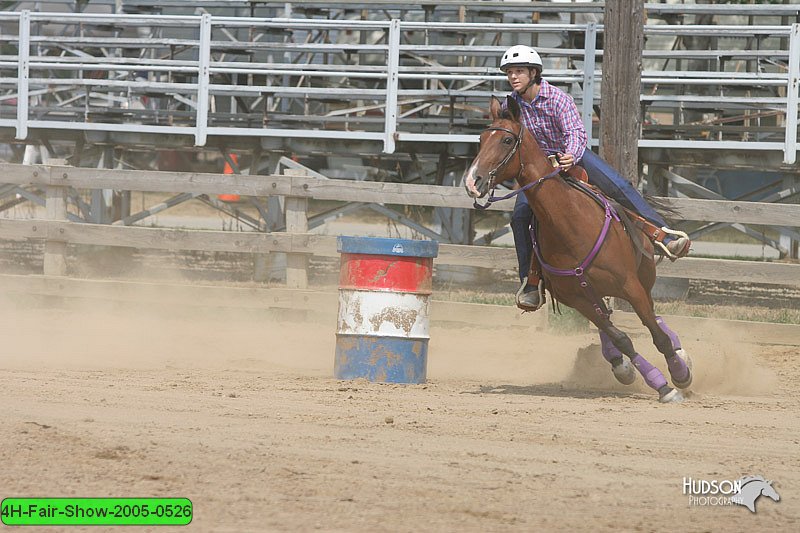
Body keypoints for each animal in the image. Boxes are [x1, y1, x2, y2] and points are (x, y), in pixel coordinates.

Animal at [466, 96, 692, 404]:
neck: (570, 225)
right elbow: (621, 338)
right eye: (480, 138)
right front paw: (659, 383)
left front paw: (678, 375)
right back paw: (620, 366)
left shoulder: (630, 285)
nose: (472, 181)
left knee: (654, 316)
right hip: (593, 293)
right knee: (609, 324)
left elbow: (657, 336)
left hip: (642, 278)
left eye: (506, 139)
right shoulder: (576, 299)